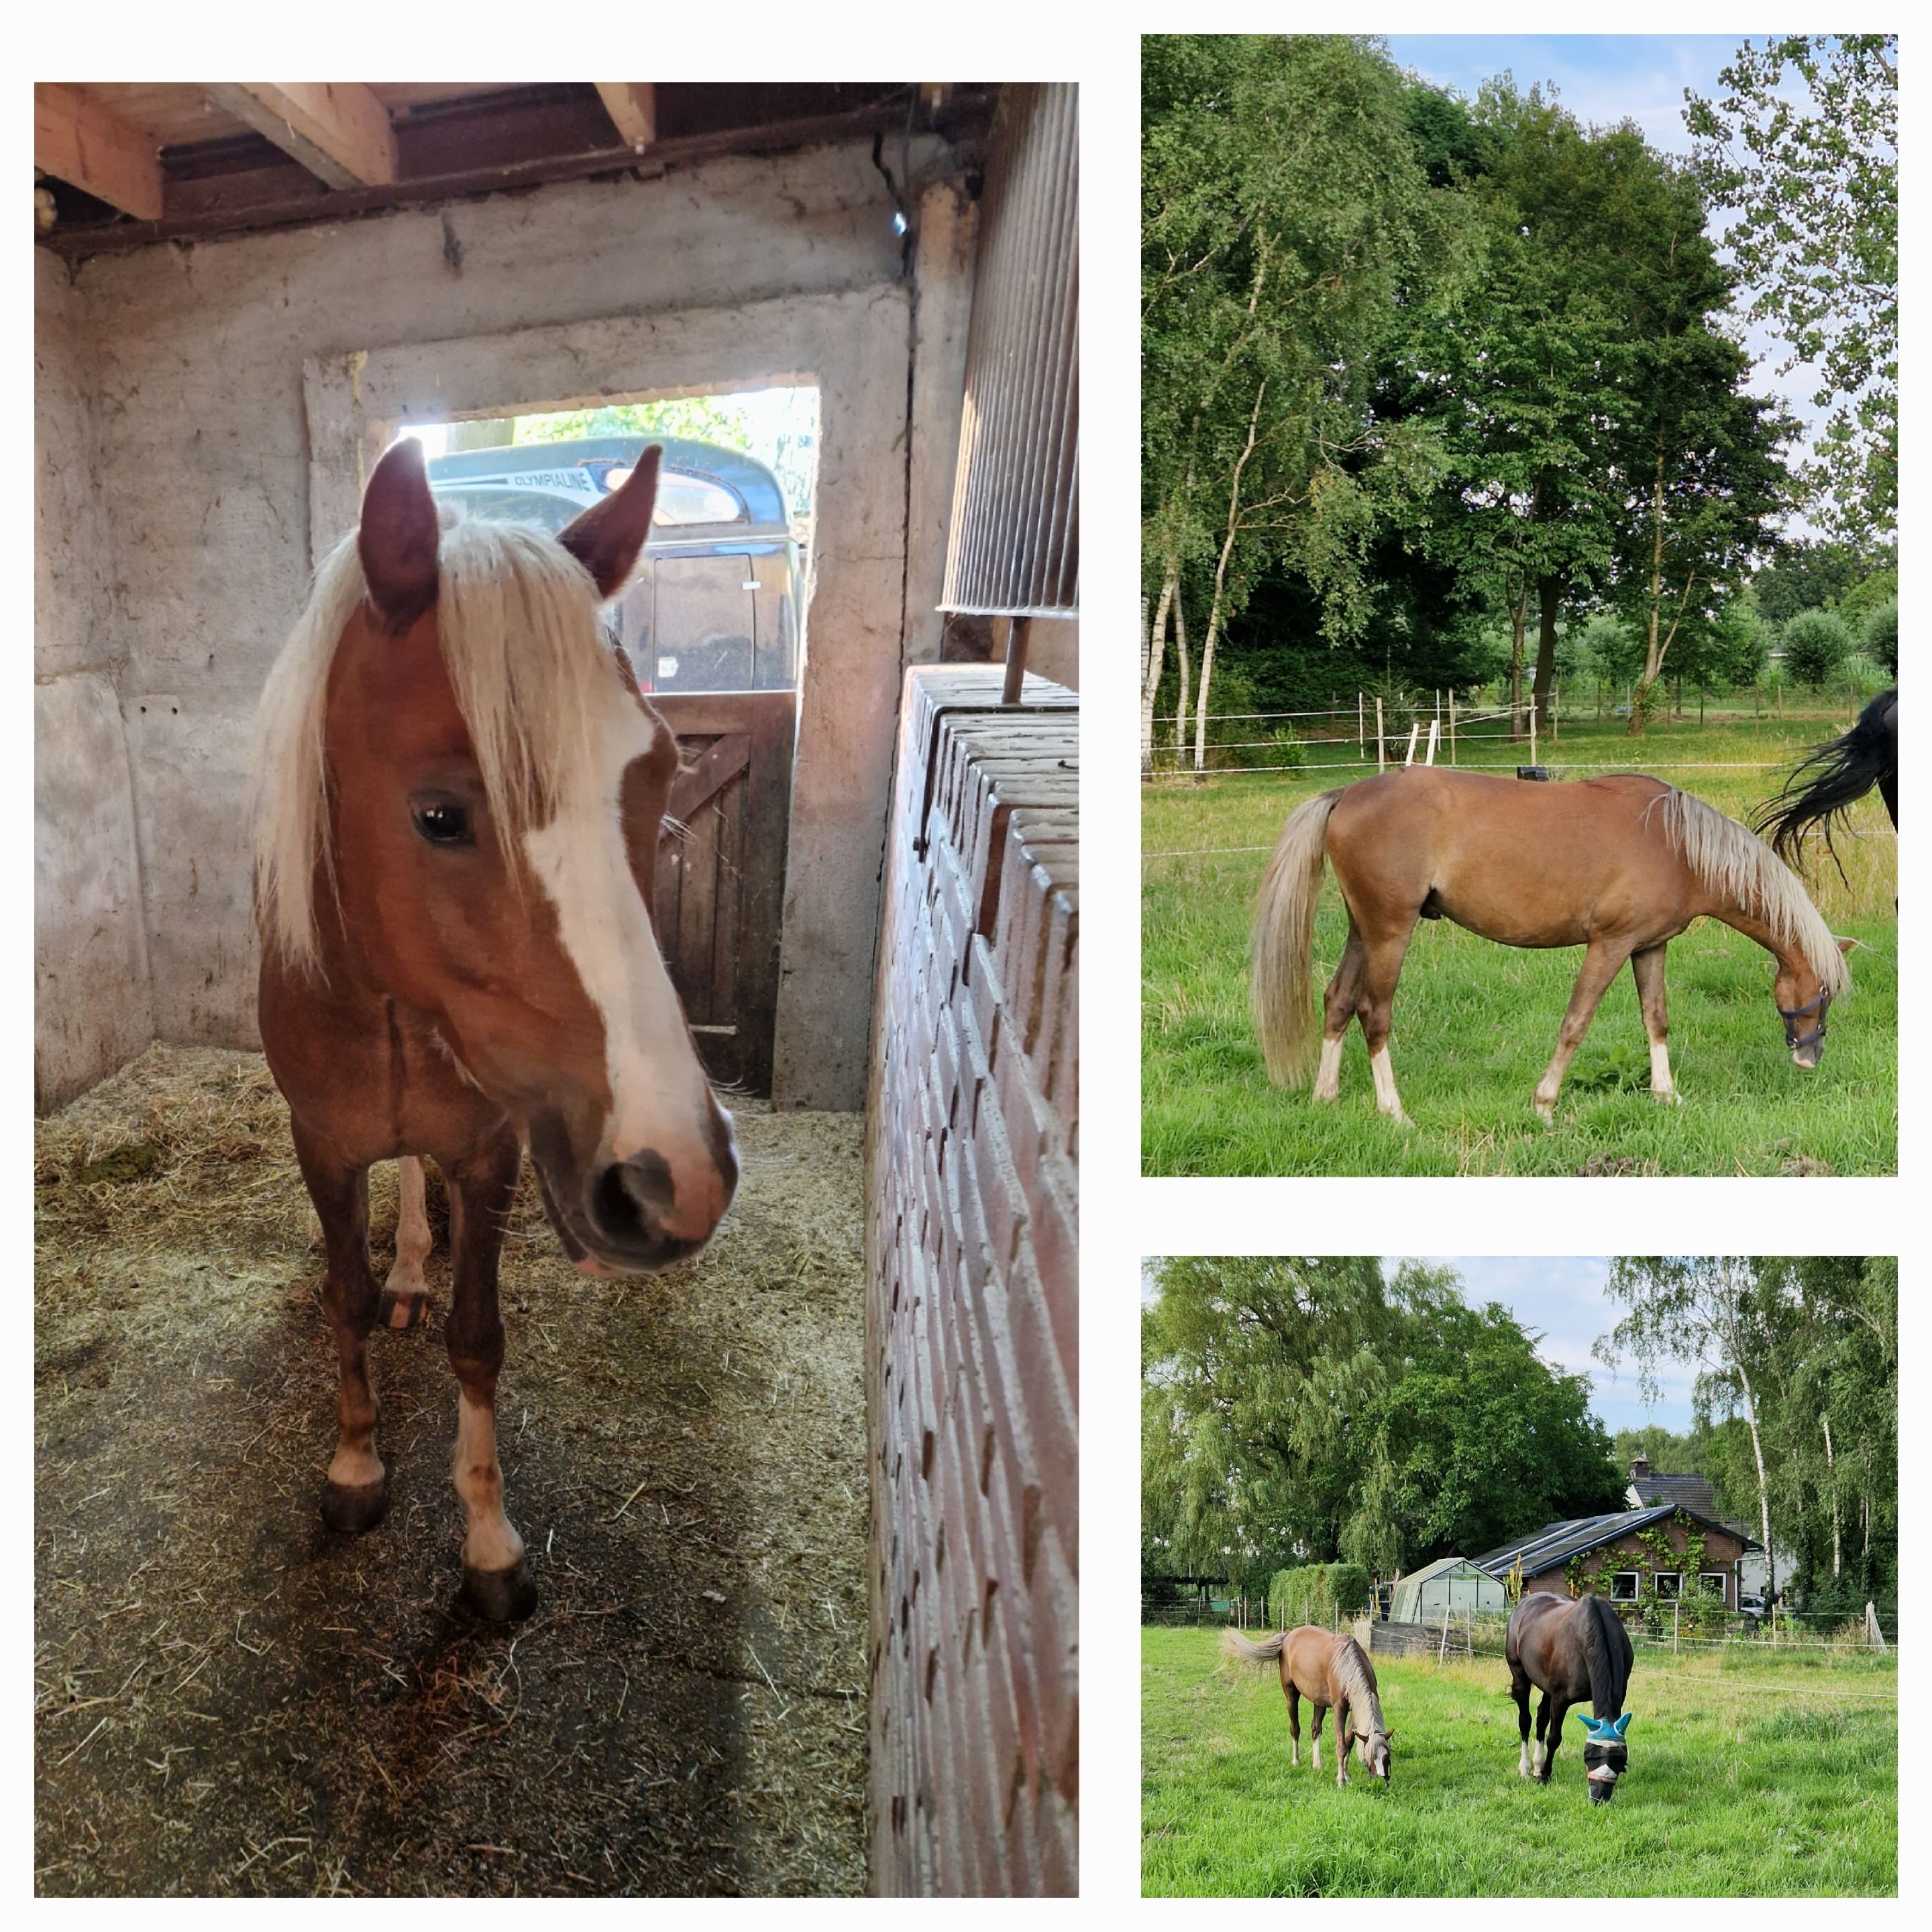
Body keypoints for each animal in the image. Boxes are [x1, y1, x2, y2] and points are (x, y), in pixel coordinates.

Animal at [250, 437, 738, 1622]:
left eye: (658, 775)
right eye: (439, 816)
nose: (677, 1178)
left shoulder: (492, 1152)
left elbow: (478, 1338)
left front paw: (488, 1540)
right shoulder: (320, 1145)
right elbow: (342, 1300)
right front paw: (354, 1468)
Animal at [1221, 1626, 1394, 1786]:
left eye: (1387, 1756)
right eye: (1370, 1757)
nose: (1383, 1780)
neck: (1347, 1666)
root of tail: (1288, 1637)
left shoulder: (1355, 1709)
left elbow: (1349, 1741)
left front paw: (1346, 1774)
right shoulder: (1340, 1709)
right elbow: (1341, 1746)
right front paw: (1341, 1780)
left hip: (1319, 1701)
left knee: (1315, 1729)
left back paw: (1317, 1764)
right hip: (1291, 1696)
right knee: (1295, 1729)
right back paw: (1296, 1761)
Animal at [1252, 766, 1854, 1124]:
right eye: (1824, 991)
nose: (1810, 1057)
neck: (1677, 843)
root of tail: (1346, 794)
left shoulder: (1649, 948)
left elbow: (1656, 1018)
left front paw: (1666, 1094)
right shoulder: (1609, 945)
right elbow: (1576, 1023)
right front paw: (1544, 1103)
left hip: (1364, 928)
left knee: (1338, 1000)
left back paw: (1325, 1096)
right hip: (1390, 931)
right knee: (1374, 1012)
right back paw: (1393, 1110)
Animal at [1505, 1591, 1633, 1803]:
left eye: (1619, 1758)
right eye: (1590, 1756)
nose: (1600, 1797)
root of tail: (1525, 1602)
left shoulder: (1620, 1698)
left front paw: (1542, 1773)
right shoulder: (1560, 1700)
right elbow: (1554, 1738)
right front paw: (1545, 1777)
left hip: (1546, 1686)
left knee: (1541, 1718)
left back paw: (1537, 1766)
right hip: (1520, 1674)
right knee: (1525, 1720)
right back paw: (1526, 1769)